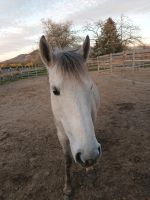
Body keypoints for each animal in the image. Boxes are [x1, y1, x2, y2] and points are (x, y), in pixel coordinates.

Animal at [39, 35, 101, 198]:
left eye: (90, 87)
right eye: (55, 91)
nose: (90, 155)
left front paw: (89, 168)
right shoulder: (61, 135)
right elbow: (67, 160)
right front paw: (67, 188)